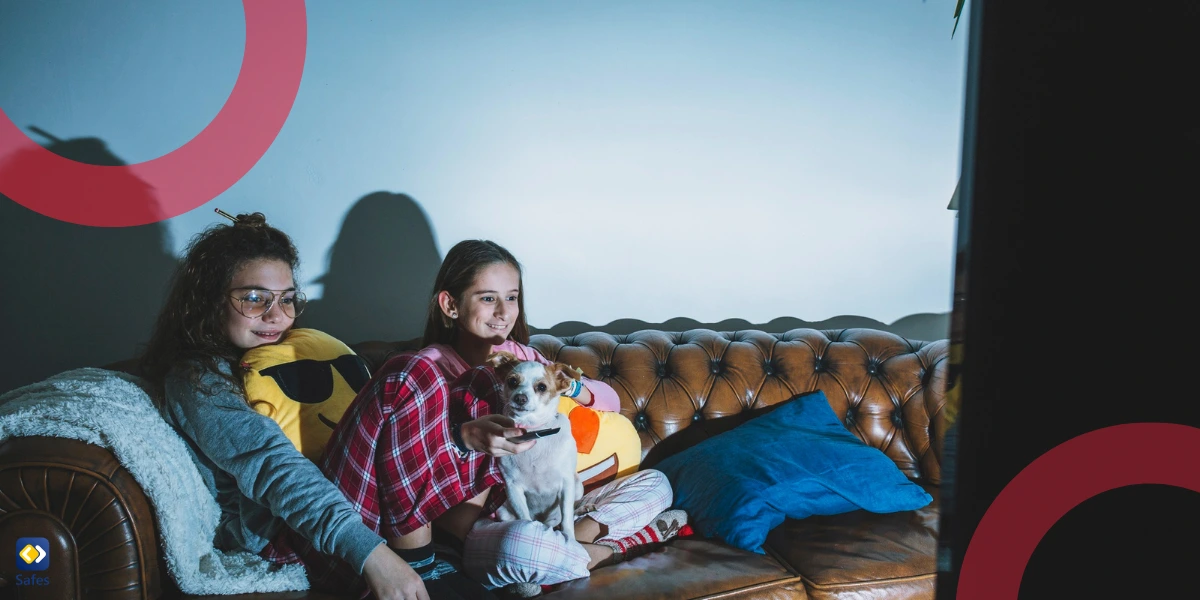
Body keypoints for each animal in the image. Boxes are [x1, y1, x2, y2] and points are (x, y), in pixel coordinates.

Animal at [484, 350, 583, 542]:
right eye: (512, 381)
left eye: (542, 387)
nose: (520, 398)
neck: (532, 429)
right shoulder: (513, 487)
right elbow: (524, 517)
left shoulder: (567, 484)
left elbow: (567, 519)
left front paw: (570, 539)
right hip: (502, 510)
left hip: (578, 487)